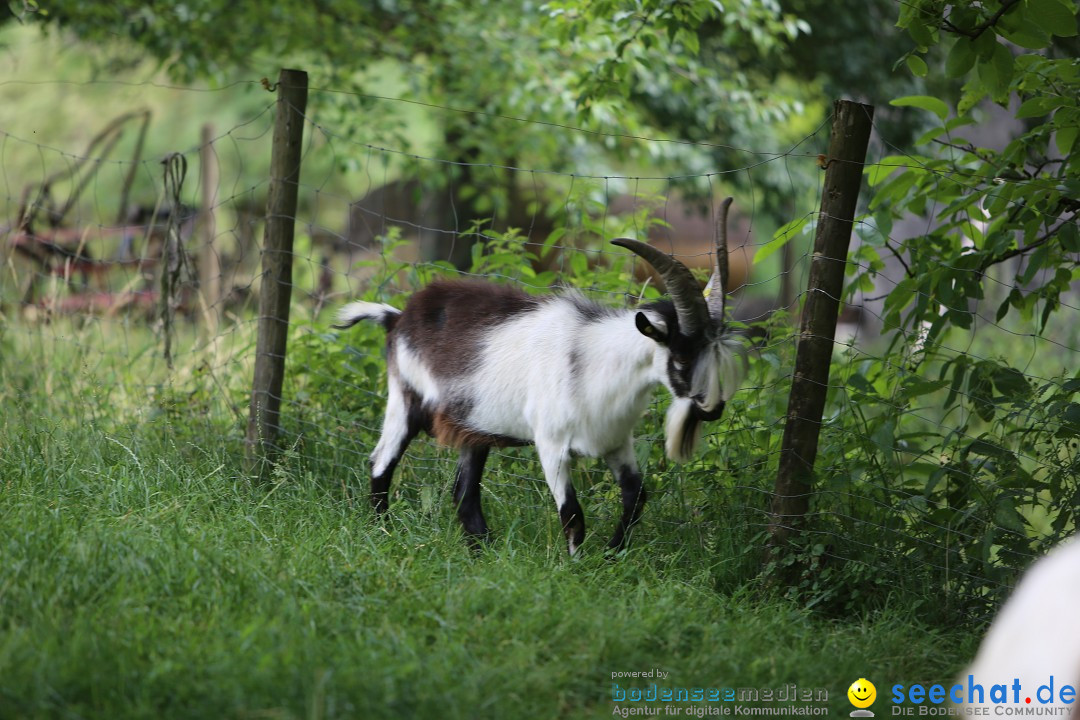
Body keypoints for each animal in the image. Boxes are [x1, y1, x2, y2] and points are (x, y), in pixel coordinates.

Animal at [336, 197, 743, 552]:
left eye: (713, 353)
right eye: (681, 355)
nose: (712, 409)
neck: (593, 361)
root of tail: (398, 318)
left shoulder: (615, 442)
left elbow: (636, 496)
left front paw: (613, 555)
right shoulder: (551, 444)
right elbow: (573, 515)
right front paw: (576, 568)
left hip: (473, 426)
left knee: (464, 493)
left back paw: (485, 553)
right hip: (405, 399)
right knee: (381, 463)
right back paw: (384, 533)